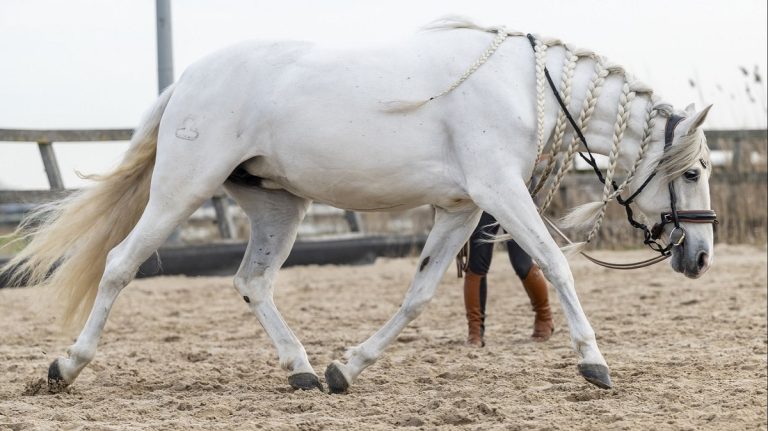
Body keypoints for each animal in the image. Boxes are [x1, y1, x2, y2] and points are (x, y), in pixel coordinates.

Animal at [3, 18, 716, 394]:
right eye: (695, 170)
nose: (703, 256)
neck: (521, 87)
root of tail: (185, 82)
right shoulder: (499, 195)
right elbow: (557, 266)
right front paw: (594, 363)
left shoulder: (461, 210)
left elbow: (419, 294)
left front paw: (348, 367)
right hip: (183, 188)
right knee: (121, 263)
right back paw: (66, 366)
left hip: (279, 208)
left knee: (252, 282)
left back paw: (302, 371)